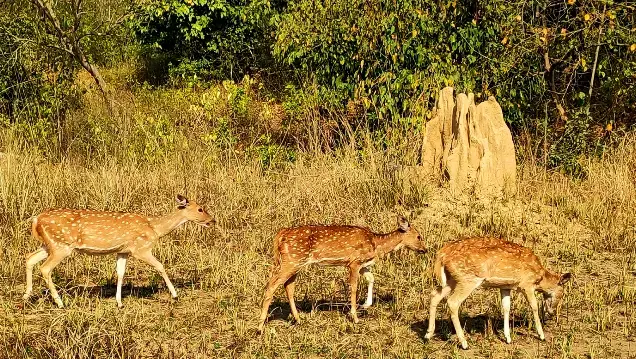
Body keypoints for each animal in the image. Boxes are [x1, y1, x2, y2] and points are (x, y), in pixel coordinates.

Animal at [22, 195, 214, 308]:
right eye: (200, 208)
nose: (213, 220)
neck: (155, 229)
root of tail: (36, 219)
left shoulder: (123, 251)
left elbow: (120, 273)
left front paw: (119, 302)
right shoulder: (141, 248)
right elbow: (160, 266)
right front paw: (175, 295)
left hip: (50, 245)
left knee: (29, 258)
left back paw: (26, 295)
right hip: (61, 245)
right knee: (45, 268)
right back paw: (60, 303)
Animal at [258, 217, 428, 332]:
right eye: (419, 236)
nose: (425, 249)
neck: (375, 244)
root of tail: (281, 234)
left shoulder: (363, 264)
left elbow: (371, 278)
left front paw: (366, 304)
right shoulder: (354, 262)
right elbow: (353, 287)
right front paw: (355, 317)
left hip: (296, 263)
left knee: (288, 286)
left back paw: (298, 319)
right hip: (292, 260)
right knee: (272, 284)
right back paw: (260, 326)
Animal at [428, 238, 572, 350]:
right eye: (562, 294)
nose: (552, 313)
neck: (541, 278)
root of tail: (441, 255)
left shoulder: (505, 286)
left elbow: (506, 307)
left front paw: (508, 338)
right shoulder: (527, 284)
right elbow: (534, 306)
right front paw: (541, 335)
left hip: (452, 280)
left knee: (435, 294)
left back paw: (428, 334)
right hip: (468, 279)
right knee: (453, 302)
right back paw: (464, 343)